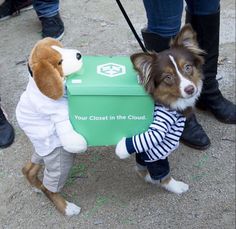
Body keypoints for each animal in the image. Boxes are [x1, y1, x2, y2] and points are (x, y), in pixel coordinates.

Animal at [115, 24, 204, 194]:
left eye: (188, 67)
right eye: (168, 77)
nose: (190, 89)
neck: (167, 102)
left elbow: (141, 162)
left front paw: (147, 176)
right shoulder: (156, 139)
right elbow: (160, 169)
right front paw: (174, 186)